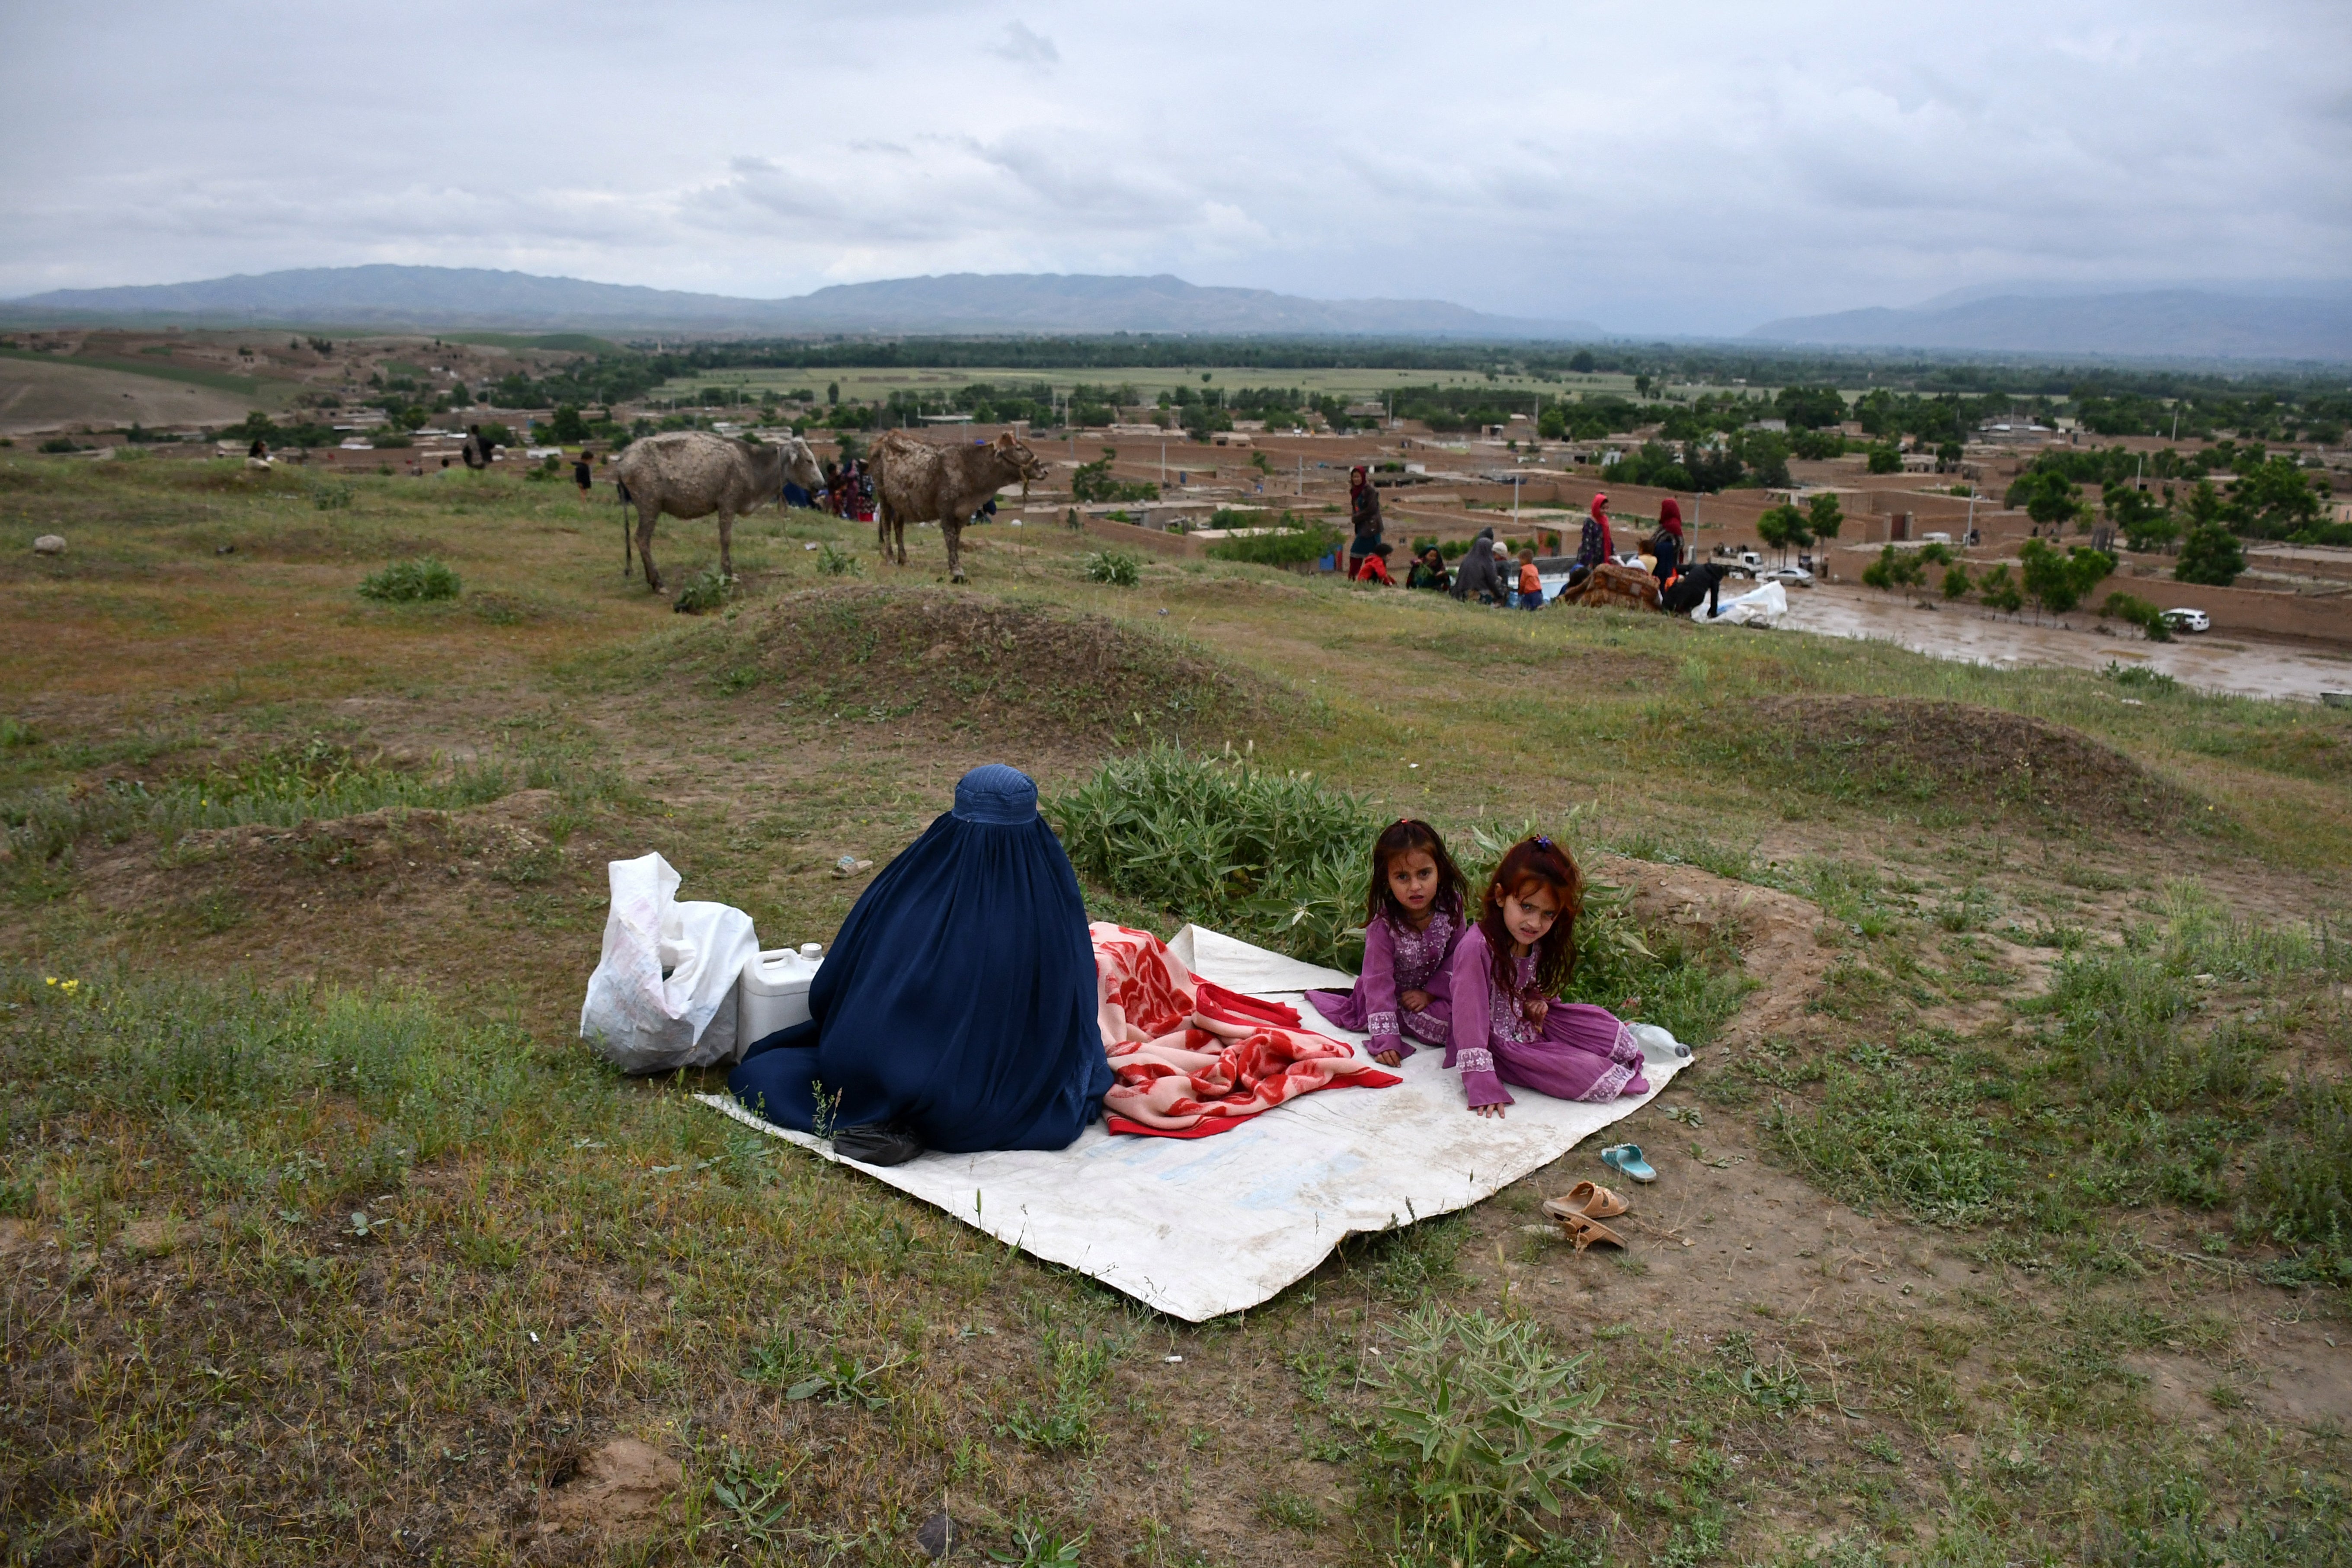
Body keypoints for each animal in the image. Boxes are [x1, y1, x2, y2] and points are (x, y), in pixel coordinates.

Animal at [870, 430, 1044, 583]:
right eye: (1019, 448)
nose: (1043, 469)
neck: (971, 469)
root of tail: (882, 440)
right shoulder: (945, 510)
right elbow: (950, 538)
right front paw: (956, 569)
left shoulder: (962, 514)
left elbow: (956, 538)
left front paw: (954, 565)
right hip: (883, 494)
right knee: (886, 524)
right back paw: (890, 558)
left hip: (900, 503)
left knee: (899, 527)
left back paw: (904, 559)